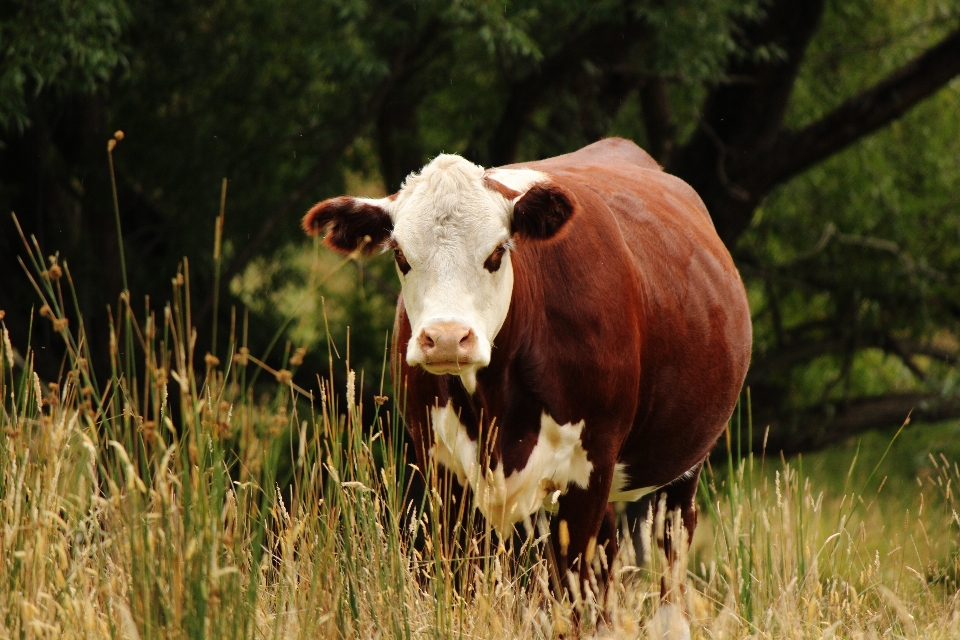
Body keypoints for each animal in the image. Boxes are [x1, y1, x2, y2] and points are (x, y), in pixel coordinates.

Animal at [304, 138, 752, 632]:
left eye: (498, 252)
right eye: (401, 255)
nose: (446, 338)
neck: (494, 405)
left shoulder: (591, 465)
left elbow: (575, 597)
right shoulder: (443, 471)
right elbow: (465, 586)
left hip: (680, 472)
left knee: (668, 556)